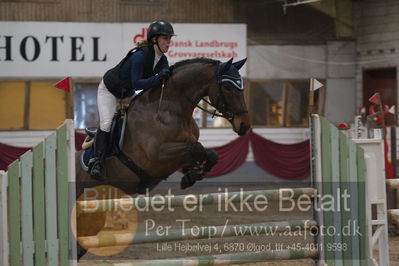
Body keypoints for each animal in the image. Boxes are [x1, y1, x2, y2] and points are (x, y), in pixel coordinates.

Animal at [74, 57, 252, 258]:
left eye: (241, 87)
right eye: (228, 87)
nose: (245, 125)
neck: (171, 109)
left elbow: (207, 153)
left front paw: (193, 174)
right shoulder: (157, 158)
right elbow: (196, 148)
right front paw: (193, 173)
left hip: (92, 215)